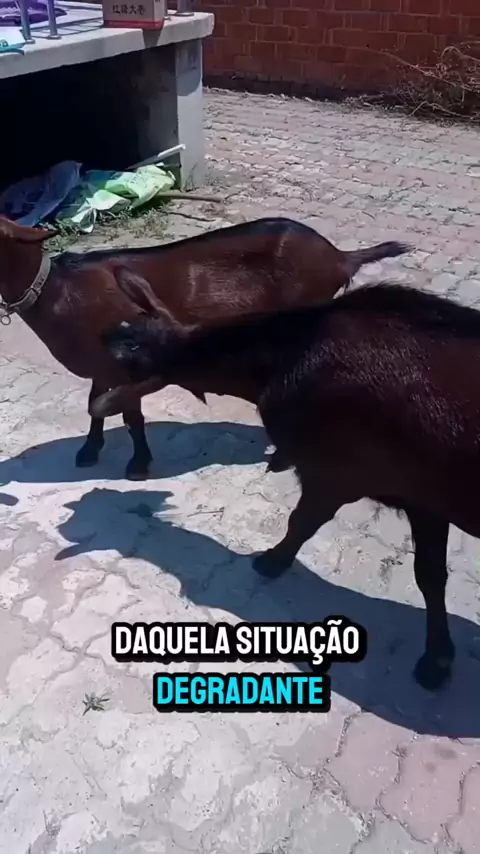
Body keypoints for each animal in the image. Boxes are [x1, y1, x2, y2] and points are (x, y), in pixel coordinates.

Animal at [0, 215, 409, 478]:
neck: (56, 290)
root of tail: (338, 257)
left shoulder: (126, 364)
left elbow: (131, 417)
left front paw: (139, 464)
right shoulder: (101, 364)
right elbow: (94, 406)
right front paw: (88, 451)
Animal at [101, 282, 480, 691]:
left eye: (133, 349)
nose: (107, 334)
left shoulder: (333, 472)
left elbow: (301, 522)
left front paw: (271, 561)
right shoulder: (424, 499)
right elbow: (431, 575)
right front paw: (439, 657)